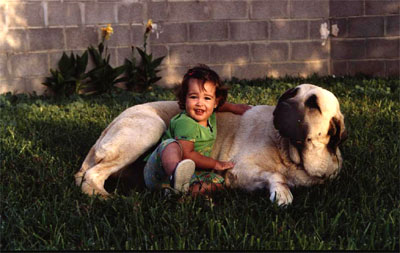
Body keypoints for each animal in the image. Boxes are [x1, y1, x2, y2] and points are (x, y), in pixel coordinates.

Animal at [75, 84, 346, 206]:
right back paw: (105, 197)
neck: (293, 154)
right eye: (290, 94)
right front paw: (282, 192)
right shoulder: (242, 170)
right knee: (92, 175)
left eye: (313, 104)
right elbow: (275, 175)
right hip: (150, 128)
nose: (282, 103)